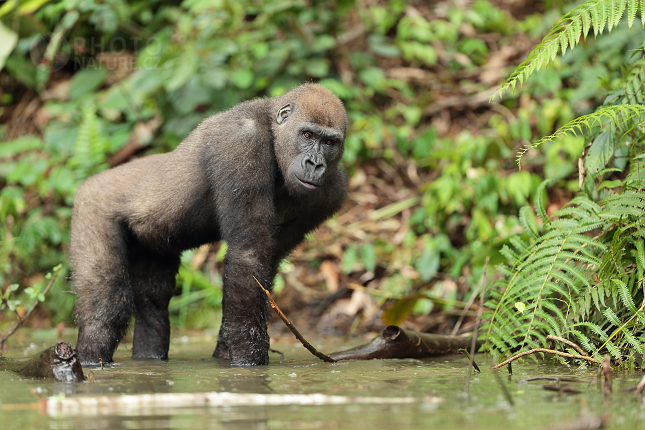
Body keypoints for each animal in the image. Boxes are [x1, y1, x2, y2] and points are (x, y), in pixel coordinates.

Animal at [70, 83, 348, 366]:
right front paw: (249, 357)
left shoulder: (332, 192)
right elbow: (248, 255)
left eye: (329, 142)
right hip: (92, 205)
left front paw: (227, 347)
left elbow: (265, 263)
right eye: (306, 134)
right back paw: (90, 357)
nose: (315, 164)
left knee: (153, 302)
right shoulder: (242, 141)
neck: (272, 130)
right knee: (108, 302)